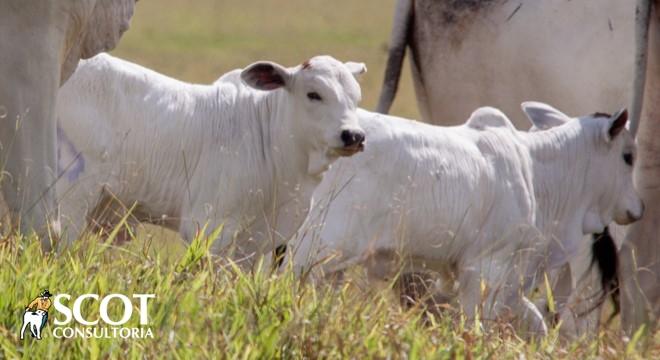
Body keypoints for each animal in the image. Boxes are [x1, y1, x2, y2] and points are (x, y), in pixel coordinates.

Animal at [54, 54, 368, 266]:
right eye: (314, 94)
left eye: (356, 98)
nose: (353, 135)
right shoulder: (209, 227)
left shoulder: (254, 243)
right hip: (71, 201)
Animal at [288, 102, 640, 336]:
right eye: (628, 156)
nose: (638, 208)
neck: (536, 171)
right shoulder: (486, 267)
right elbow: (478, 327)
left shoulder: (509, 280)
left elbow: (535, 323)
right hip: (313, 249)